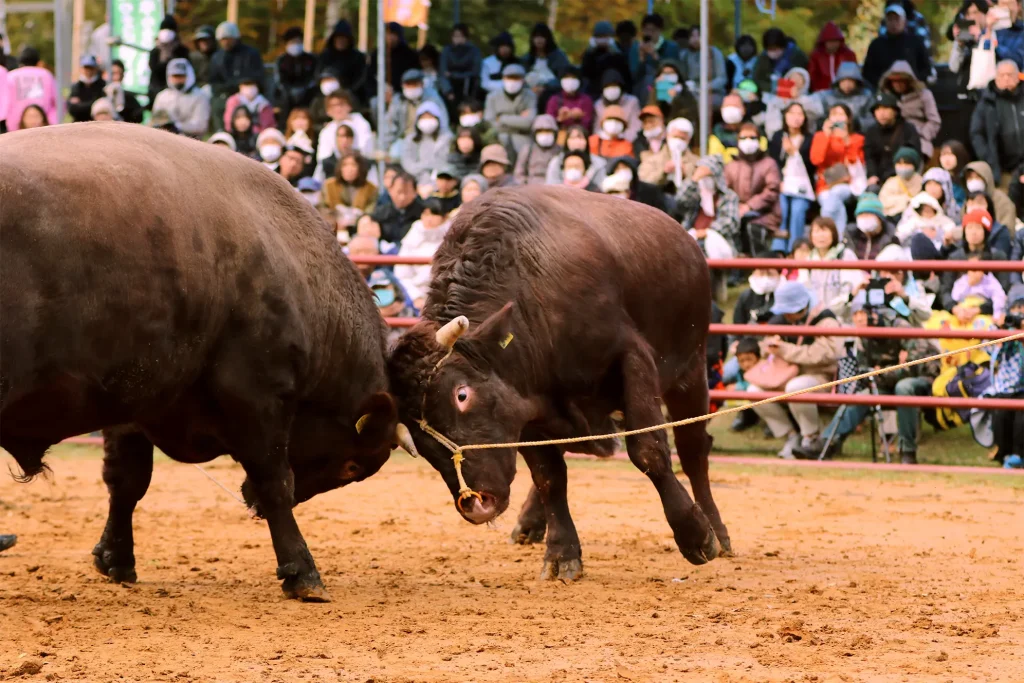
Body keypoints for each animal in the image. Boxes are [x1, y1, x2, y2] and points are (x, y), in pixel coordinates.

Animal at [387, 184, 733, 581]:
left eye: (462, 394)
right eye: (414, 432)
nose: (476, 504)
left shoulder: (632, 358)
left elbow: (649, 451)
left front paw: (695, 534)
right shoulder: (526, 406)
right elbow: (549, 477)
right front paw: (561, 551)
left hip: (690, 371)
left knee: (693, 450)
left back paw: (716, 527)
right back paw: (529, 524)